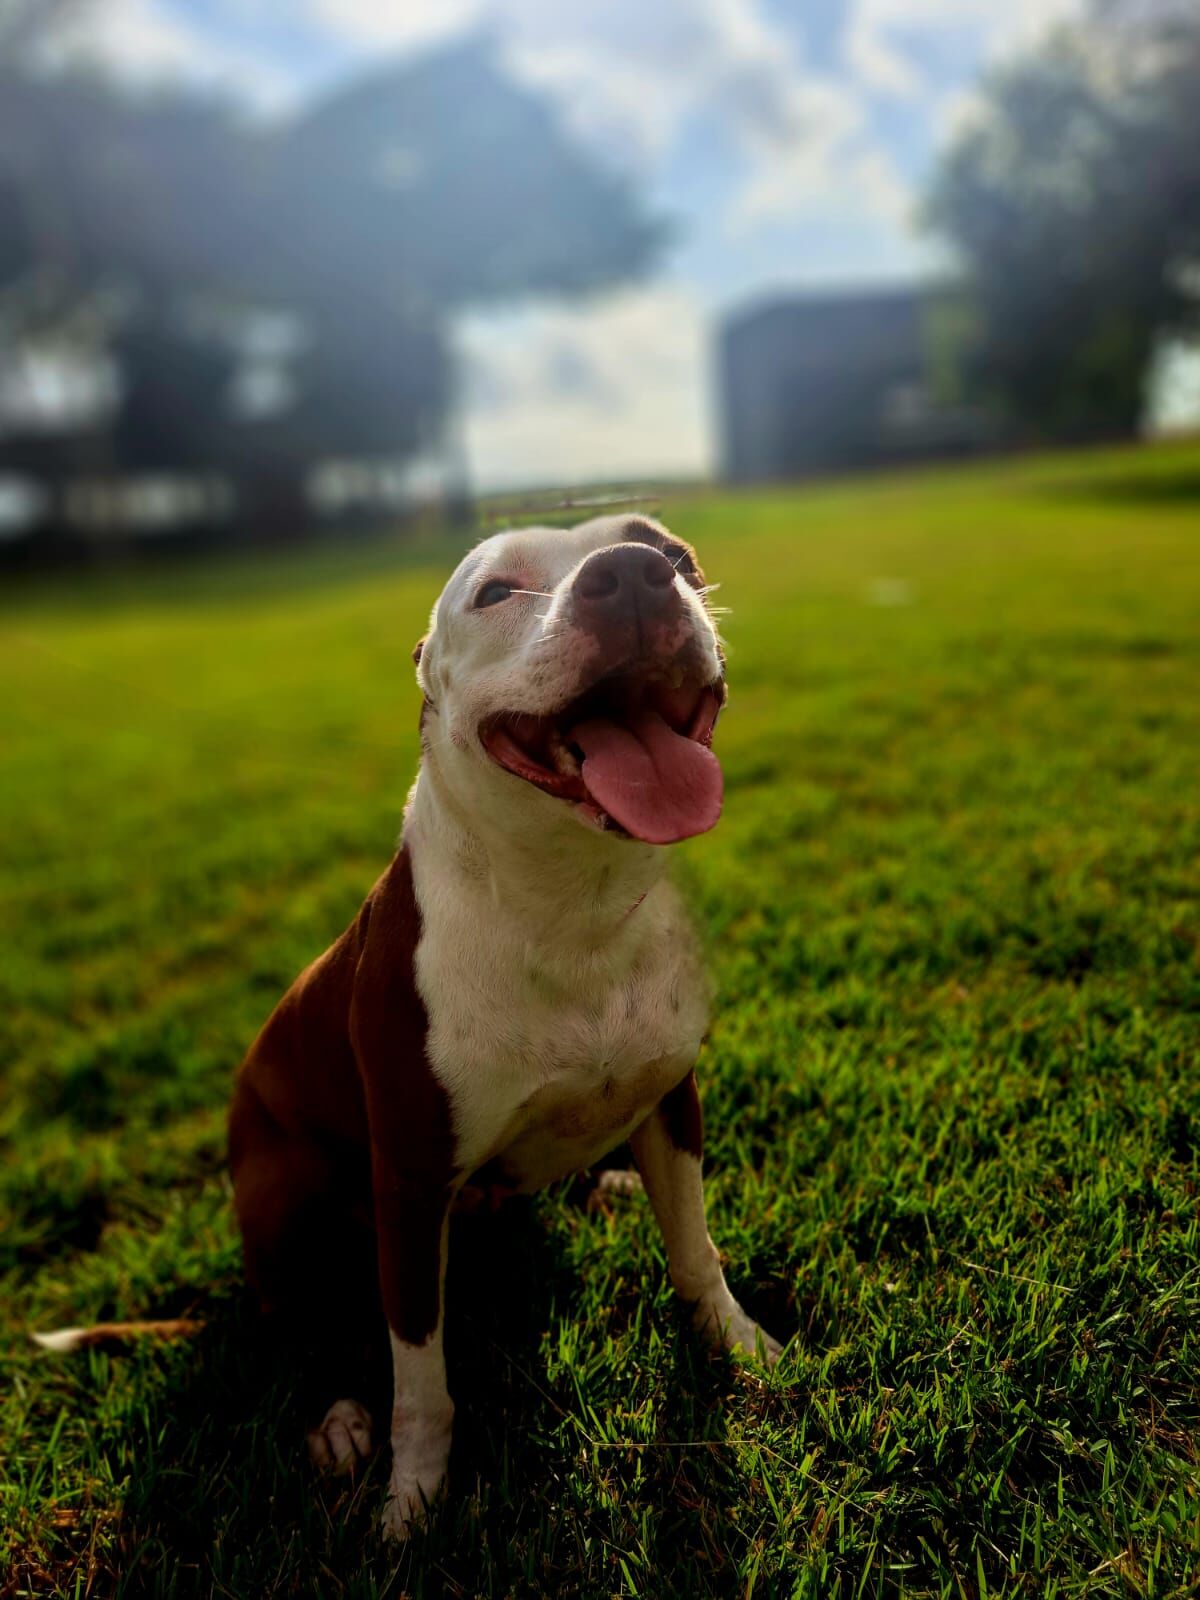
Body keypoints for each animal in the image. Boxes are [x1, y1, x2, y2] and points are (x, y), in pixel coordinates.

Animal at [227, 513, 781, 1540]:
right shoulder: (407, 1188)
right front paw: (412, 1499)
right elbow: (420, 1378)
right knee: (291, 1321)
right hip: (280, 1193)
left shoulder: (674, 1096)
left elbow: (695, 1252)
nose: (633, 575)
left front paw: (742, 1346)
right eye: (495, 593)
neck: (570, 904)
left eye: (670, 553)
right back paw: (334, 1416)